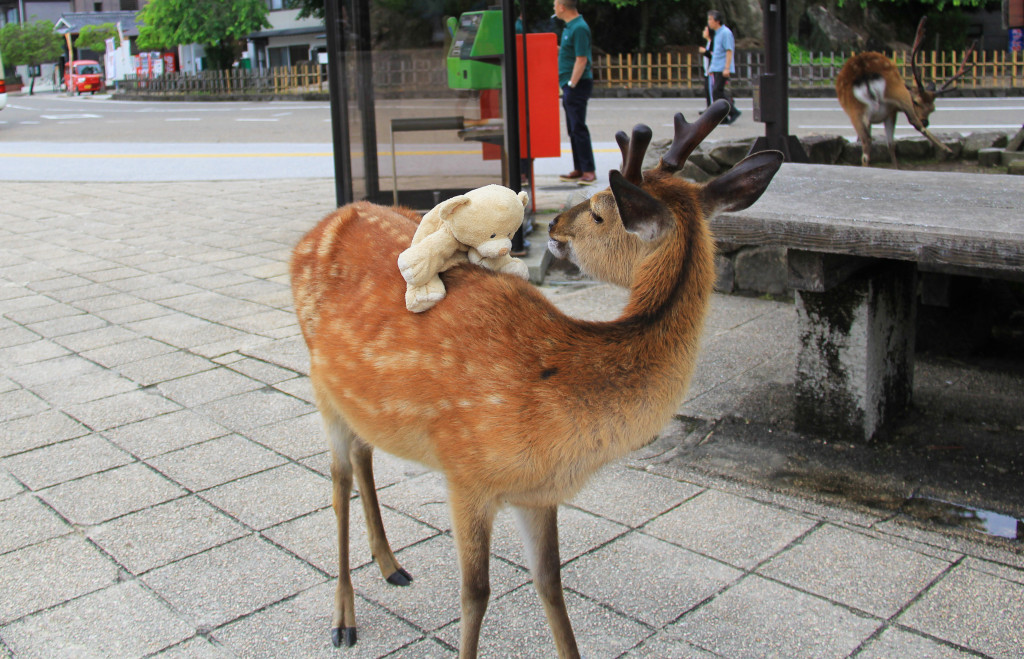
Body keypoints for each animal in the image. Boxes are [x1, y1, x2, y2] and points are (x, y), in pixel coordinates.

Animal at [290, 99, 782, 659]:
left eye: (599, 211)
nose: (557, 226)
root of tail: (313, 230)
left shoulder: (540, 492)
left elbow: (550, 583)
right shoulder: (465, 471)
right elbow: (475, 594)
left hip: (355, 398)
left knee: (363, 452)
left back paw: (391, 566)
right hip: (318, 383)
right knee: (337, 480)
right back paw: (343, 620)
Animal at [831, 18, 974, 168]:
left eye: (933, 108)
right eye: (916, 102)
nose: (926, 121)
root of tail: (864, 73)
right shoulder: (892, 112)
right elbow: (891, 145)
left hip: (855, 110)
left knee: (866, 144)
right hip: (897, 93)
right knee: (915, 123)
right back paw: (948, 150)